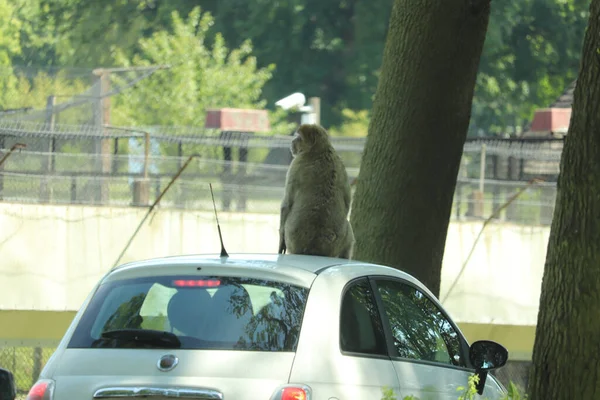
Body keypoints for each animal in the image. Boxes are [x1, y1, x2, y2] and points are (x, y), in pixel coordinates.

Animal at [278, 123, 354, 258]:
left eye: (299, 138)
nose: (292, 141)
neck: (320, 151)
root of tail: (314, 247)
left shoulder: (296, 164)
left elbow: (286, 204)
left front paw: (281, 241)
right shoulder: (340, 164)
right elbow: (347, 203)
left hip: (293, 239)